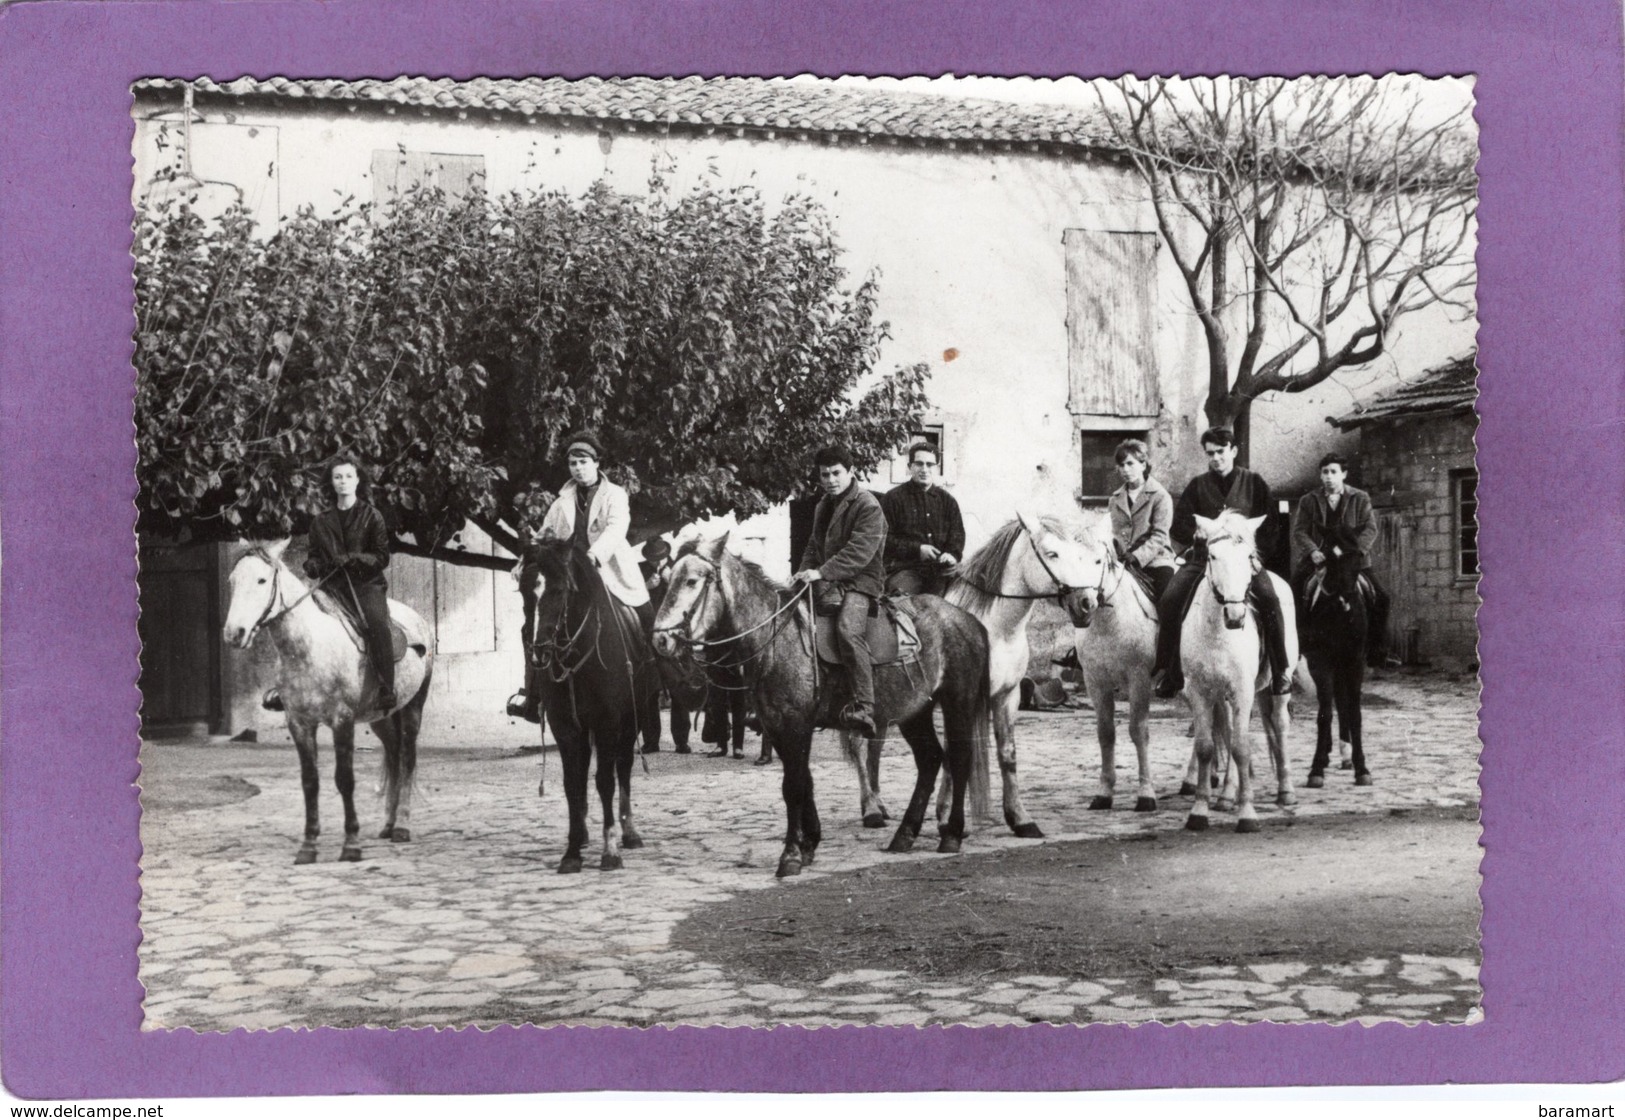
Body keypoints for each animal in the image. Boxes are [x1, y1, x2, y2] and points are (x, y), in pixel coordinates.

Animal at [225, 536, 438, 858]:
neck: (308, 647)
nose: (234, 633)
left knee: (407, 758)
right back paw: (388, 824)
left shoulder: (342, 720)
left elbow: (344, 779)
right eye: (232, 581)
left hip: (413, 707)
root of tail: (418, 620)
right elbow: (310, 782)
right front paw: (308, 846)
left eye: (262, 580)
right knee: (393, 754)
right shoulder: (299, 724)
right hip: (381, 718)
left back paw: (402, 826)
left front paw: (351, 845)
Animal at [650, 536, 988, 877]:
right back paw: (905, 834)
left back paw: (951, 834)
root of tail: (967, 619)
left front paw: (790, 856)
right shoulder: (777, 726)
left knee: (959, 758)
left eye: (692, 581)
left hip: (957, 701)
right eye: (668, 579)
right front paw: (809, 843)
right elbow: (805, 782)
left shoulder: (796, 724)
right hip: (914, 712)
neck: (776, 640)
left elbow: (793, 787)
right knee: (930, 759)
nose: (660, 640)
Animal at [1066, 516, 1170, 812]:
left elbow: (1138, 730)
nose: (1081, 605)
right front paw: (1104, 793)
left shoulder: (1139, 679)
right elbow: (1105, 733)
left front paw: (1146, 794)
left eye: (1099, 561)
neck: (1108, 621)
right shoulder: (1095, 681)